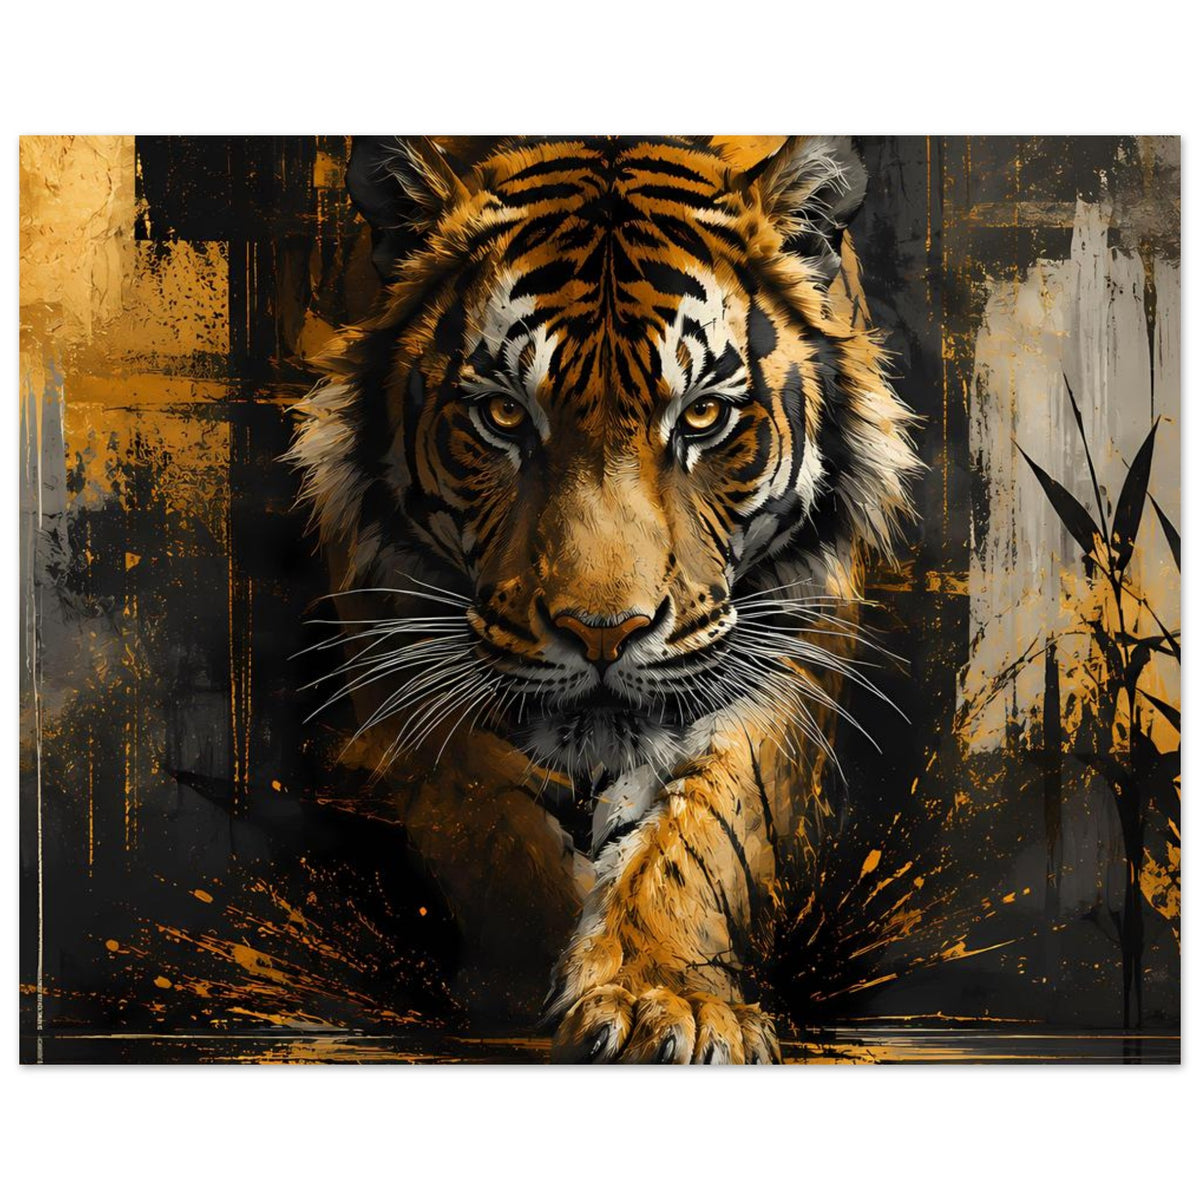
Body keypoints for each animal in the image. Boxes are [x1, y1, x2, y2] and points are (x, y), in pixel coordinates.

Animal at [289, 135, 919, 1063]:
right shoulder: (398, 628)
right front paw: (521, 990)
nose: (602, 634)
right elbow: (486, 823)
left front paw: (668, 1001)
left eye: (702, 418)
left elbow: (706, 835)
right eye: (504, 417)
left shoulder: (787, 642)